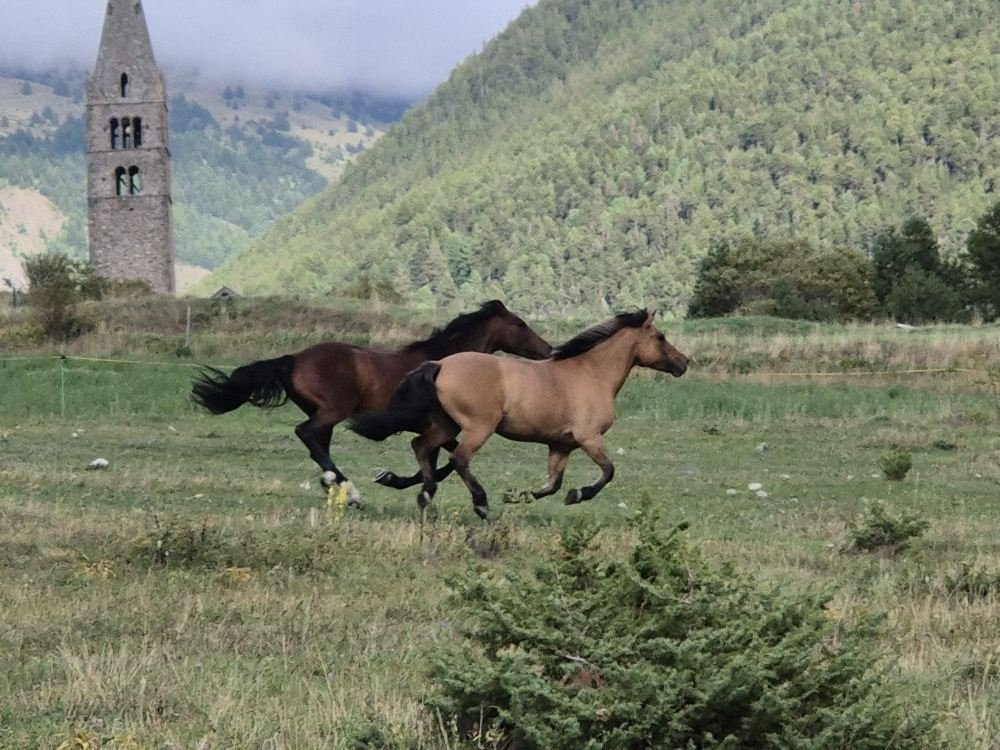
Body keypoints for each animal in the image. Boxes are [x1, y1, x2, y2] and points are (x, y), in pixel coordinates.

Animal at [191, 300, 551, 506]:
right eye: (520, 324)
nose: (548, 350)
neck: (444, 364)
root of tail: (293, 359)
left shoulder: (435, 428)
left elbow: (437, 463)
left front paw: (392, 479)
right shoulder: (435, 426)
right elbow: (441, 462)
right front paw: (390, 479)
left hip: (323, 415)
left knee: (317, 445)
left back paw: (336, 488)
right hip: (333, 411)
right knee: (305, 433)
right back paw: (350, 490)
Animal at [350, 309, 688, 518]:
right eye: (660, 337)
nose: (683, 363)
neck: (591, 374)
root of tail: (440, 364)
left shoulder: (561, 445)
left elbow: (552, 484)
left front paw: (515, 496)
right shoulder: (589, 438)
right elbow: (608, 472)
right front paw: (578, 495)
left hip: (446, 425)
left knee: (421, 447)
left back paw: (422, 495)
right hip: (478, 428)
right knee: (458, 459)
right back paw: (481, 504)